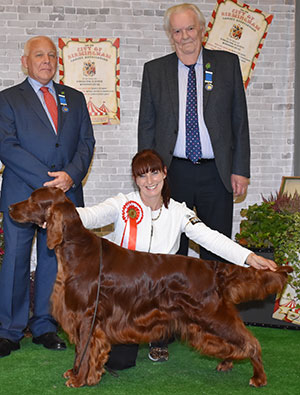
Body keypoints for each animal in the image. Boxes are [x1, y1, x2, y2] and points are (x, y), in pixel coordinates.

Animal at [9, 187, 292, 388]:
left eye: (33, 200)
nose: (10, 207)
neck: (75, 249)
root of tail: (212, 267)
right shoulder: (82, 318)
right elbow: (81, 350)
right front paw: (80, 374)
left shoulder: (87, 316)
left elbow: (85, 350)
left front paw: (80, 379)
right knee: (234, 344)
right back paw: (226, 363)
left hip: (212, 315)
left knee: (251, 343)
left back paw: (259, 378)